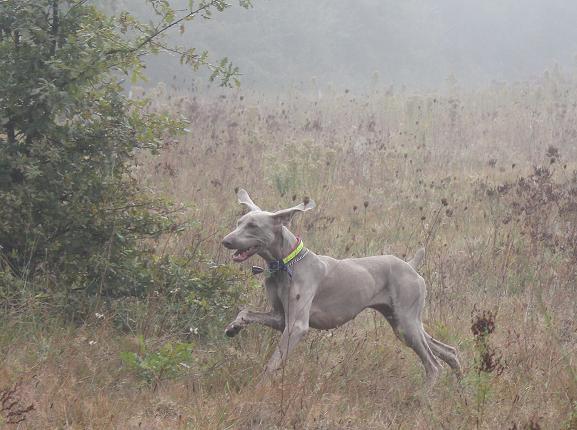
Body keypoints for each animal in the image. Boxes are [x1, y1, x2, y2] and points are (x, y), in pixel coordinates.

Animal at [220, 190, 460, 384]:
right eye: (239, 222)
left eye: (253, 226)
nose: (225, 241)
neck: (287, 262)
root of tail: (410, 265)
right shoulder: (280, 318)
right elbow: (247, 312)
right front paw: (234, 326)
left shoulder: (297, 326)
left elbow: (273, 362)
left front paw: (258, 388)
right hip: (403, 321)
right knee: (449, 351)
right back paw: (460, 388)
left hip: (406, 324)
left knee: (433, 365)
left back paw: (424, 397)